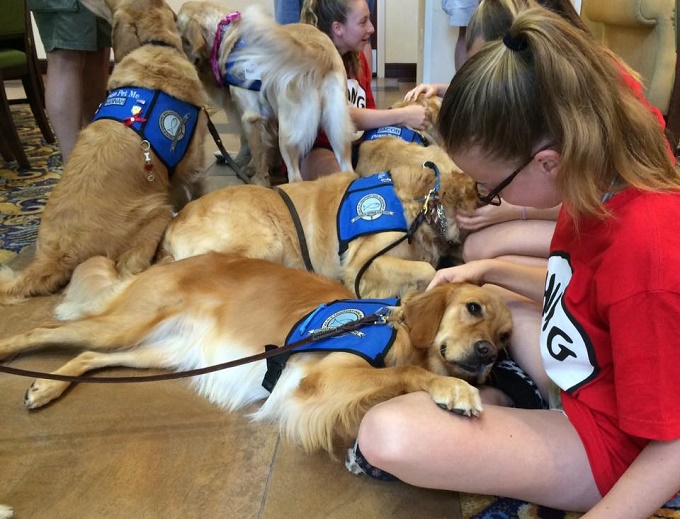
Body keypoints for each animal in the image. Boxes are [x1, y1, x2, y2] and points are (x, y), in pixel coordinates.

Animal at [0, 253, 510, 456]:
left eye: (505, 337)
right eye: (473, 308)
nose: (488, 354)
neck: (392, 328)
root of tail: (172, 260)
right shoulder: (318, 382)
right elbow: (406, 374)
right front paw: (452, 388)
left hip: (164, 352)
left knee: (90, 356)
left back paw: (45, 387)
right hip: (127, 323)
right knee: (45, 330)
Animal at [175, 1, 356, 185]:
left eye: (179, 30)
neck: (225, 32)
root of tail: (317, 51)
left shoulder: (250, 115)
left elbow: (254, 147)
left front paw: (257, 178)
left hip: (288, 134)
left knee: (295, 177)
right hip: (337, 129)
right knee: (348, 170)